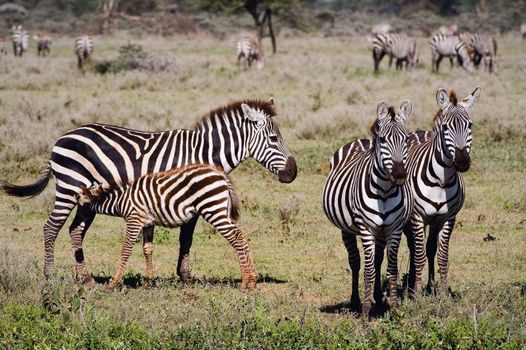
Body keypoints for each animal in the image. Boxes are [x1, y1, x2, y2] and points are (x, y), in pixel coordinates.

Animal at [76, 165, 258, 292]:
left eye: (84, 194)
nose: (75, 195)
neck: (122, 200)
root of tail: (221, 175)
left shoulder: (135, 219)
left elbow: (126, 250)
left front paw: (113, 283)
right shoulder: (148, 223)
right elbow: (147, 249)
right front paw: (148, 283)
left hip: (213, 209)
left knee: (236, 238)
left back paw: (244, 282)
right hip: (220, 210)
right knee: (241, 237)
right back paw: (253, 280)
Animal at [322, 100, 416, 314]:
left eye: (406, 139)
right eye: (383, 140)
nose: (399, 175)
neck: (385, 191)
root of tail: (361, 141)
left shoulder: (395, 229)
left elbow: (391, 269)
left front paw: (394, 307)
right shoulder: (366, 229)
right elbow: (368, 270)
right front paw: (365, 310)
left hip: (381, 231)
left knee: (378, 259)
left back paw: (379, 299)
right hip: (347, 228)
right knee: (355, 261)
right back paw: (356, 300)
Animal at [406, 87, 484, 296]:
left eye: (470, 125)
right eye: (446, 128)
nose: (462, 162)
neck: (441, 181)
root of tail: (420, 132)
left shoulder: (448, 218)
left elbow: (441, 256)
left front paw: (441, 292)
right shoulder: (417, 217)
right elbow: (419, 256)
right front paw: (416, 294)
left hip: (434, 221)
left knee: (430, 248)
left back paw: (430, 285)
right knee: (413, 248)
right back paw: (411, 285)